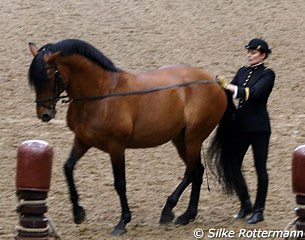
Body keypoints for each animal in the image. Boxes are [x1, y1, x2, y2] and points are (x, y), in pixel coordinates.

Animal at [28, 38, 236, 235]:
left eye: (48, 76)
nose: (44, 114)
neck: (100, 94)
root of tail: (215, 83)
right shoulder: (83, 141)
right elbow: (68, 168)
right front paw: (78, 213)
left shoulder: (116, 146)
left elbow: (120, 183)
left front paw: (123, 222)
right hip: (180, 139)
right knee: (197, 171)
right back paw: (187, 215)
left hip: (193, 138)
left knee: (191, 171)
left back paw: (168, 210)